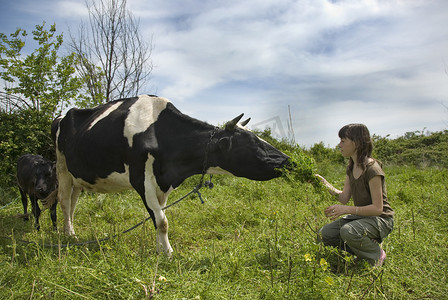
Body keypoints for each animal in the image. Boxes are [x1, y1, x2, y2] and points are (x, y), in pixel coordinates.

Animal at [51, 95, 290, 254]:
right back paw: (69, 234)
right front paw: (167, 253)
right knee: (63, 200)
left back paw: (71, 230)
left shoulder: (163, 182)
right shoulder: (141, 179)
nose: (286, 160)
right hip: (61, 166)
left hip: (78, 176)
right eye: (252, 143)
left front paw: (159, 249)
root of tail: (63, 115)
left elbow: (158, 216)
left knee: (73, 202)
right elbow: (162, 220)